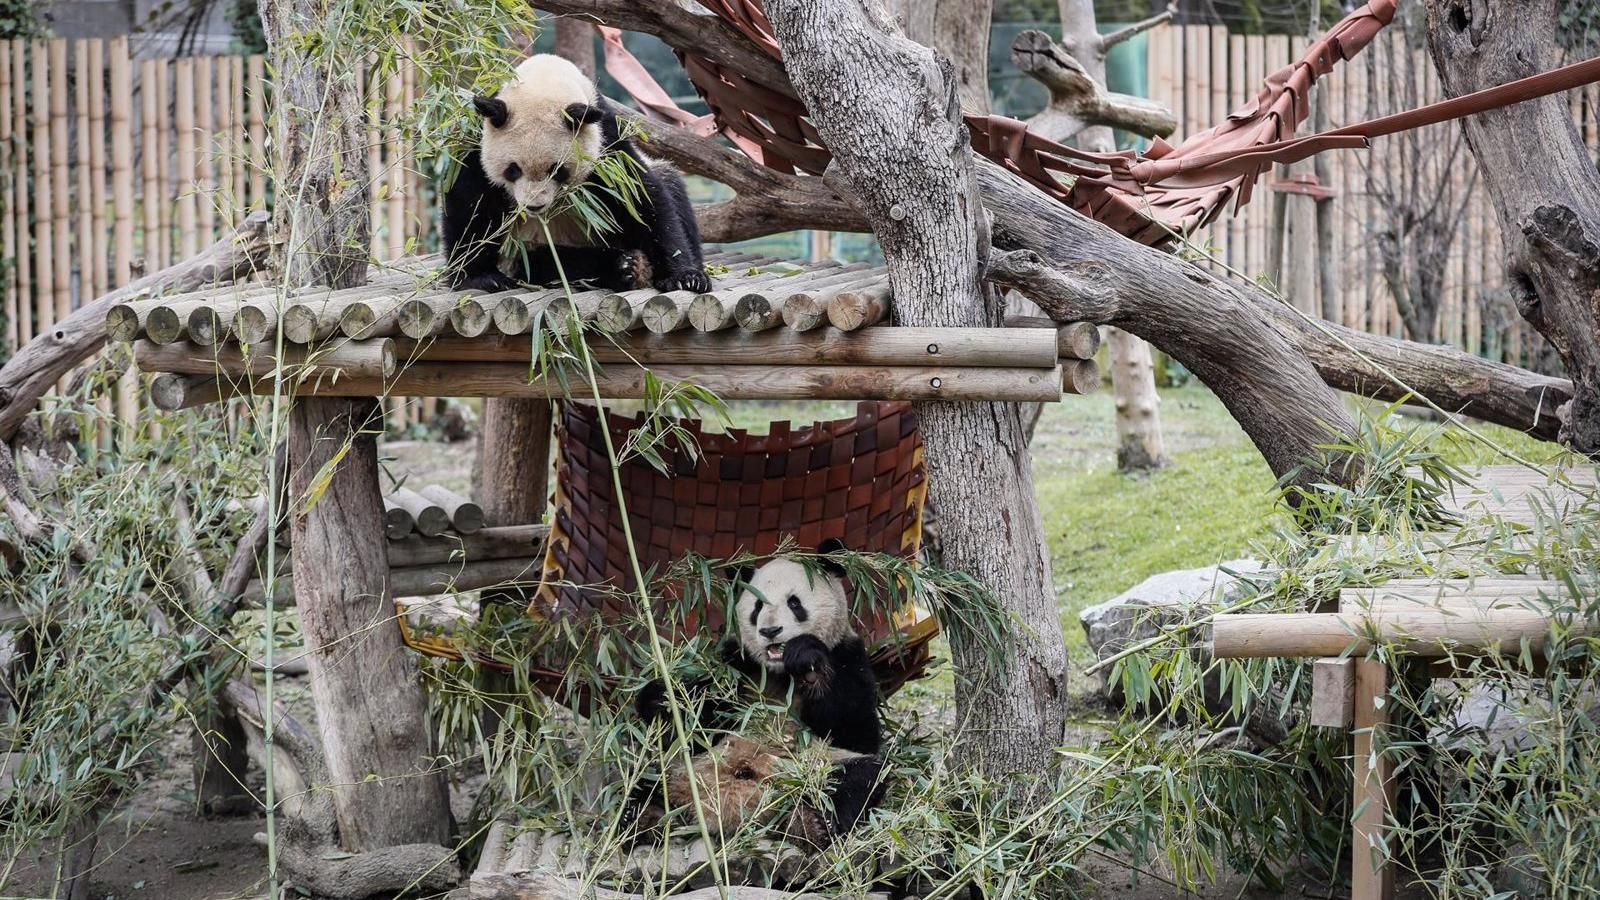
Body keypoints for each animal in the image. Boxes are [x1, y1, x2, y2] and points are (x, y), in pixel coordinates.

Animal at [441, 54, 713, 295]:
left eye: (557, 170)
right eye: (513, 169)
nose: (534, 206)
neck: (546, 76)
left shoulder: (606, 140)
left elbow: (640, 197)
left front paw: (684, 277)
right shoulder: (479, 141)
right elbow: (472, 205)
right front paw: (482, 276)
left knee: (672, 186)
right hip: (523, 249)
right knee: (550, 263)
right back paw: (625, 267)